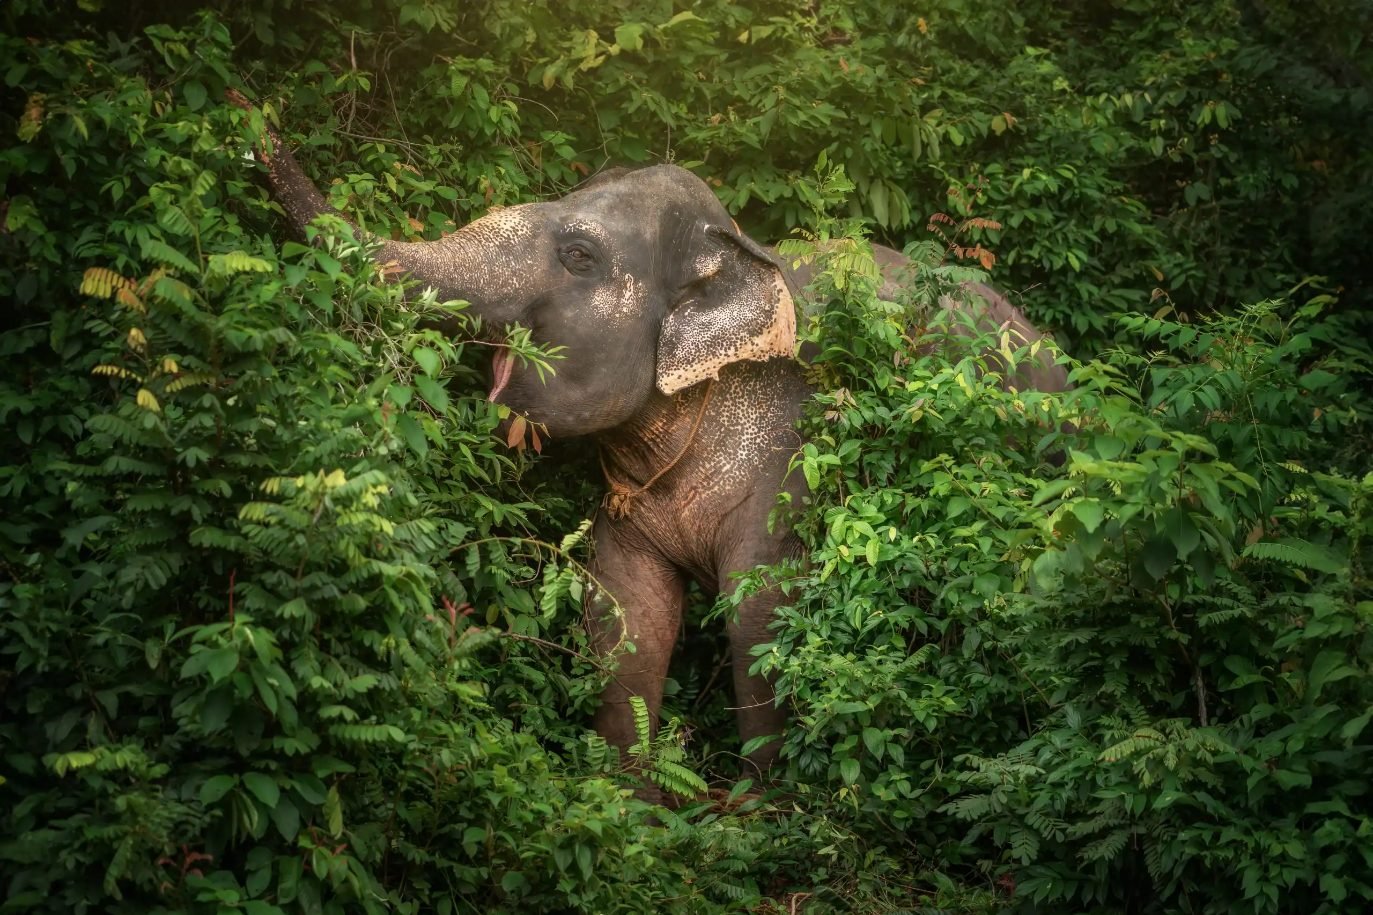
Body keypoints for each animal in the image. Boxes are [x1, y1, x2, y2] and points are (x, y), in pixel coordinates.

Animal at [228, 91, 1069, 799]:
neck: (741, 248)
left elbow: (761, 615)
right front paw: (624, 802)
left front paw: (754, 816)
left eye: (578, 256)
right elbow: (623, 615)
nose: (244, 107)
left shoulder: (790, 464)